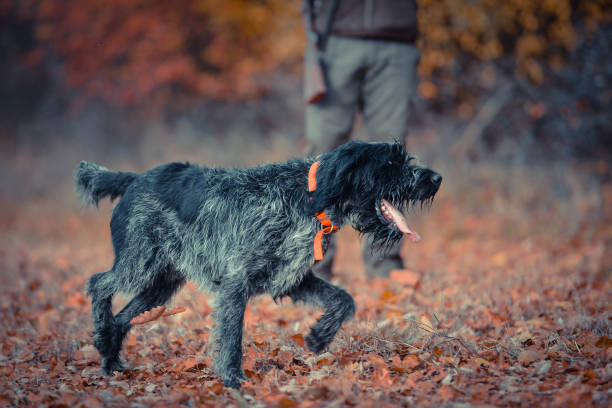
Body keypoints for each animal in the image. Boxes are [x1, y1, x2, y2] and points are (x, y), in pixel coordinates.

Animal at [76, 142, 440, 388]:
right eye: (391, 161)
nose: (436, 178)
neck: (308, 197)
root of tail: (134, 180)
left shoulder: (291, 278)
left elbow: (344, 300)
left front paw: (319, 337)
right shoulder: (236, 283)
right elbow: (231, 336)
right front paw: (233, 379)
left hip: (160, 285)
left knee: (122, 316)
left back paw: (110, 355)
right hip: (138, 264)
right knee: (97, 283)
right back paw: (103, 339)